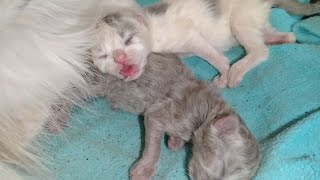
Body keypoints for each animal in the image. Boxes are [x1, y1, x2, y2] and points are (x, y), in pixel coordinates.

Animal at [50, 53, 260, 180]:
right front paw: (145, 169)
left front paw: (175, 141)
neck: (208, 111)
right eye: (222, 168)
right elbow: (154, 145)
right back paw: (57, 118)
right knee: (69, 92)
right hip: (95, 79)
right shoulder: (163, 113)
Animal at [93, 0, 320, 88]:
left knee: (260, 51)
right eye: (104, 56)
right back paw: (279, 38)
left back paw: (237, 70)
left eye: (128, 39)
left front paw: (224, 73)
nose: (120, 57)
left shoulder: (189, 35)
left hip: (241, 17)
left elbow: (213, 56)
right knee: (283, 35)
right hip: (255, 19)